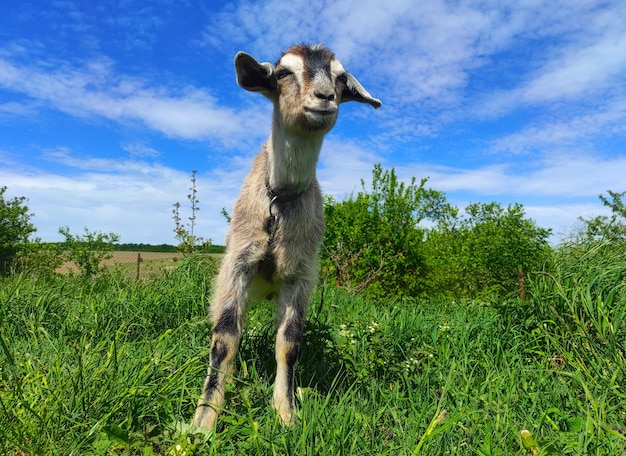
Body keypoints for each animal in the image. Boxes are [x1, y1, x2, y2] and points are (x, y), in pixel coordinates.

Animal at [191, 44, 380, 430]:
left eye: (341, 78)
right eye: (282, 73)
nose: (324, 98)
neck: (278, 200)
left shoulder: (301, 275)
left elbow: (288, 344)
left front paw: (286, 412)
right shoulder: (237, 265)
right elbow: (225, 337)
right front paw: (204, 419)